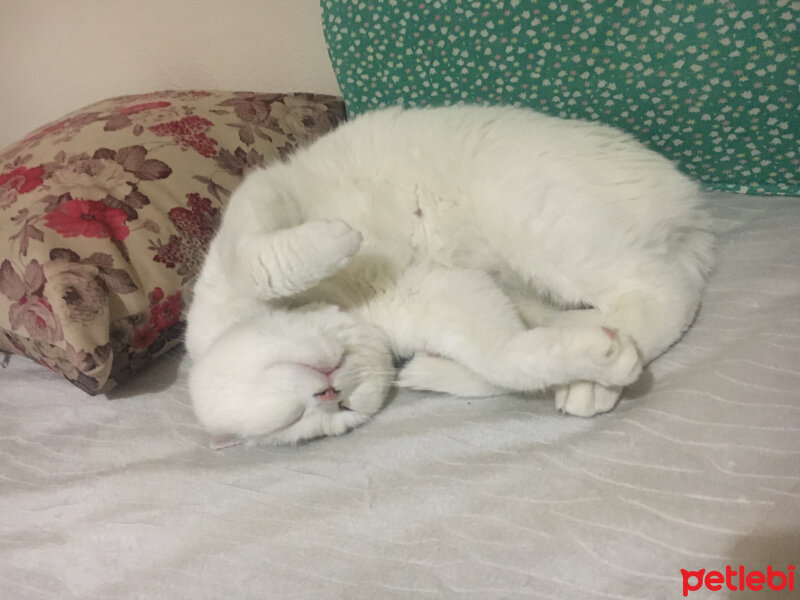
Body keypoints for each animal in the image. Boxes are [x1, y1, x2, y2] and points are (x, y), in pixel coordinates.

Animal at [186, 105, 712, 448]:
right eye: (317, 418)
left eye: (333, 409)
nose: (330, 393)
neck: (345, 299)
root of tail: (693, 208)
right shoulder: (437, 292)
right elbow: (505, 358)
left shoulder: (262, 196)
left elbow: (260, 265)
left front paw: (338, 240)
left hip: (533, 220)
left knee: (667, 292)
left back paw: (595, 378)